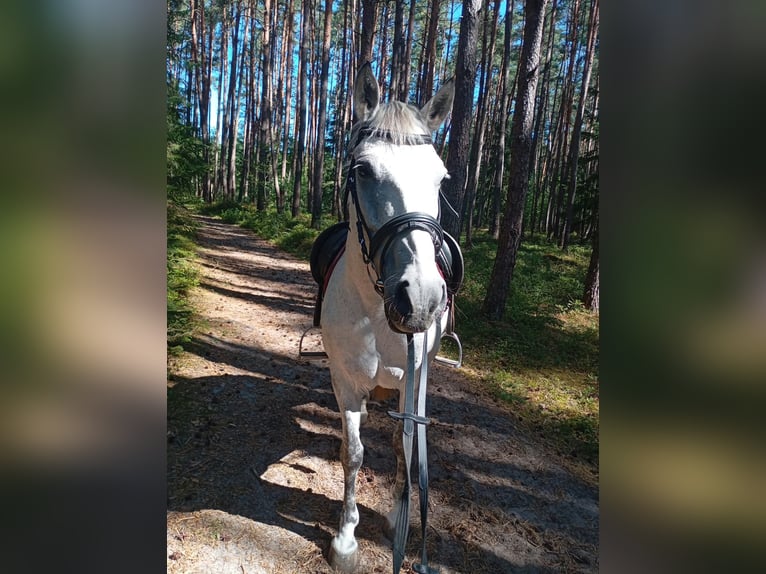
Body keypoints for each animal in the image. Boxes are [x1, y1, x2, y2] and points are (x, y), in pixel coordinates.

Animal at [317, 63, 456, 573]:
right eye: (362, 169)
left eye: (441, 178)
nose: (421, 296)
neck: (377, 315)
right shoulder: (345, 381)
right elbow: (353, 454)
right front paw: (346, 538)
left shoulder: (414, 382)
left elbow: (405, 444)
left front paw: (399, 516)